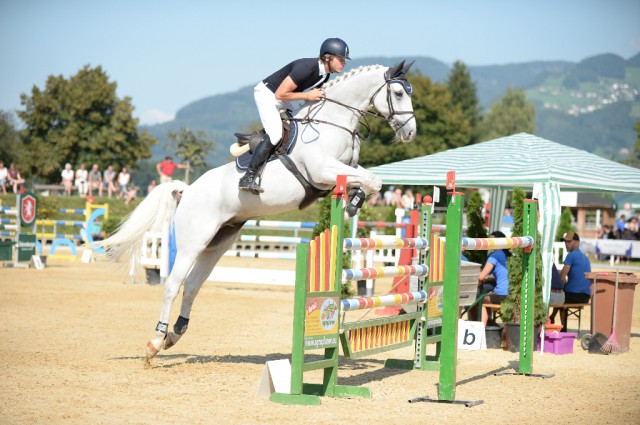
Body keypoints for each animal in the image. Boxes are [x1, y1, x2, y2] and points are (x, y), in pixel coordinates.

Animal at [101, 62, 416, 362]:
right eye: (398, 93)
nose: (410, 133)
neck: (333, 122)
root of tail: (187, 191)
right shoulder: (322, 171)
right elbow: (370, 180)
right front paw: (352, 204)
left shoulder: (344, 169)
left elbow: (373, 179)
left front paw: (354, 200)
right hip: (194, 241)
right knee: (173, 284)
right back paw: (156, 341)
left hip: (218, 241)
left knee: (192, 285)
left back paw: (175, 334)